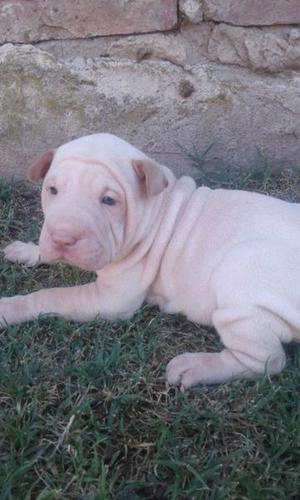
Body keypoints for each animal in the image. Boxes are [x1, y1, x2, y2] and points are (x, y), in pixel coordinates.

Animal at [0, 134, 300, 390]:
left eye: (108, 200)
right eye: (52, 190)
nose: (62, 238)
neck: (158, 209)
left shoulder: (111, 299)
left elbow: (48, 296)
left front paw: (8, 308)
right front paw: (27, 250)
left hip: (241, 275)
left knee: (267, 361)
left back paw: (196, 367)